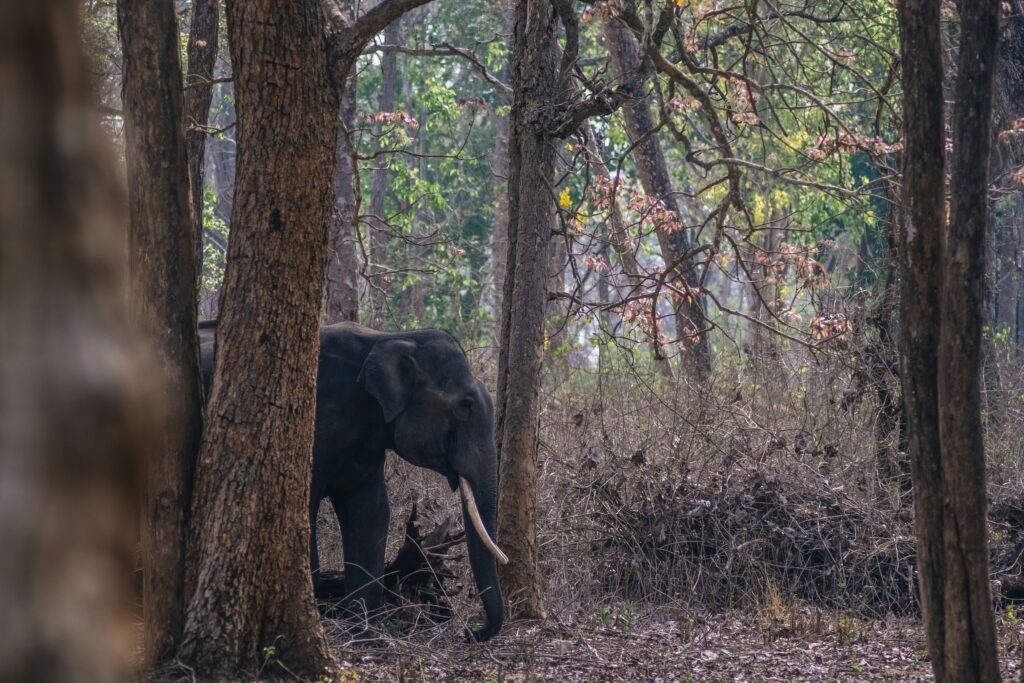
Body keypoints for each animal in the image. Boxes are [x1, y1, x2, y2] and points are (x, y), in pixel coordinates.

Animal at [198, 321, 503, 643]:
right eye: (465, 406)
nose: (469, 632)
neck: (392, 338)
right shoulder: (315, 421)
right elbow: (306, 507)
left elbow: (371, 511)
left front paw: (363, 632)